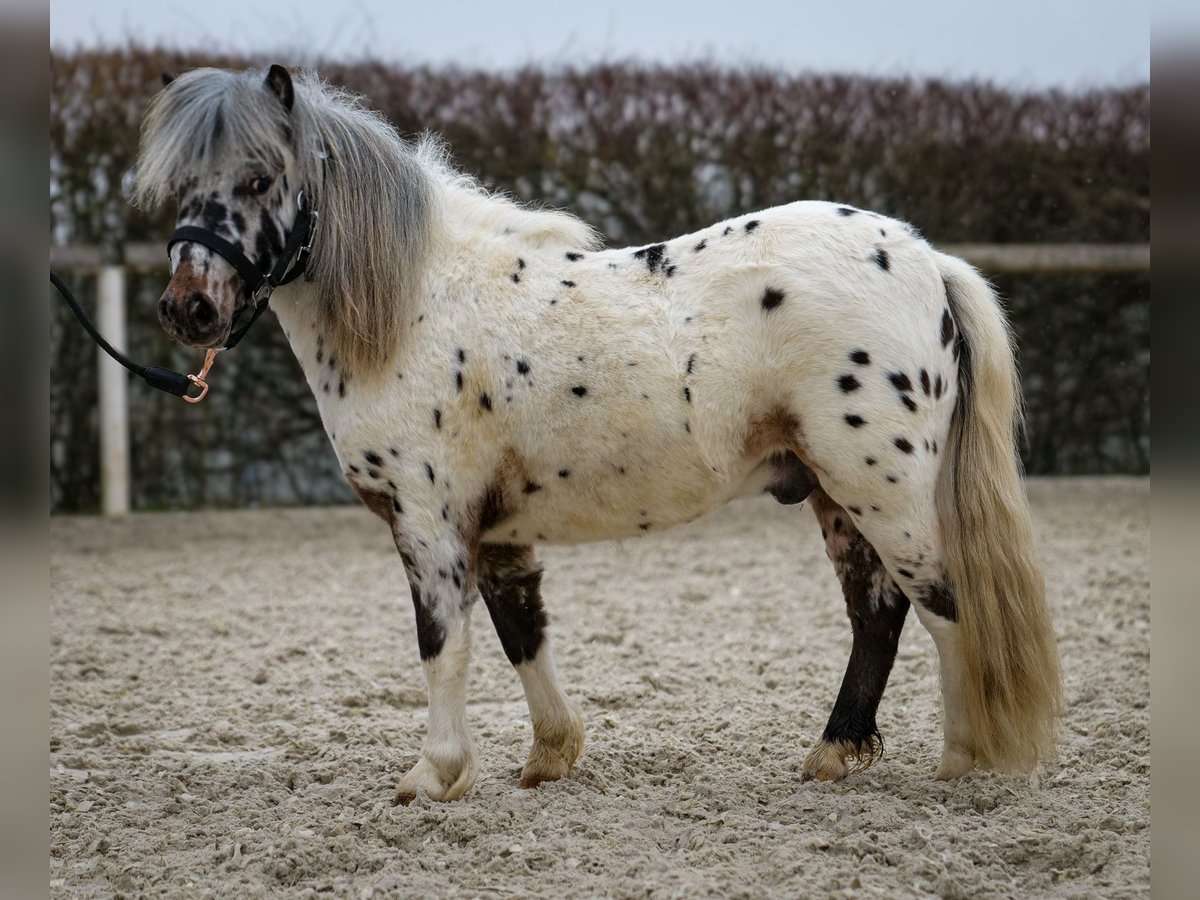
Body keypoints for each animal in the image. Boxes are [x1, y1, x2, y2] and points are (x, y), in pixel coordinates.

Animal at [136, 65, 1065, 801]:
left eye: (261, 178)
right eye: (181, 184)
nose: (189, 309)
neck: (416, 308)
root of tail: (924, 260)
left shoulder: (428, 524)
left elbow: (442, 644)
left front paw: (435, 774)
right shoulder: (494, 531)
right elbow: (521, 632)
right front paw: (551, 755)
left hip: (883, 489)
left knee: (944, 607)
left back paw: (961, 760)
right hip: (837, 494)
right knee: (878, 614)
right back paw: (833, 753)